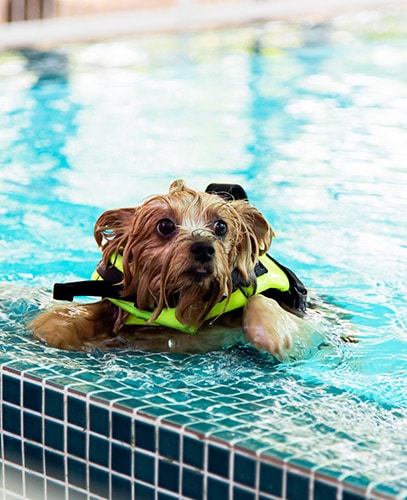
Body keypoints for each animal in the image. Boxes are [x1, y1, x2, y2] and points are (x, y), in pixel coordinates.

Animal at [31, 180, 318, 360]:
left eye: (221, 227)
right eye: (165, 226)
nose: (204, 248)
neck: (186, 300)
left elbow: (259, 302)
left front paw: (271, 335)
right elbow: (65, 317)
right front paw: (59, 323)